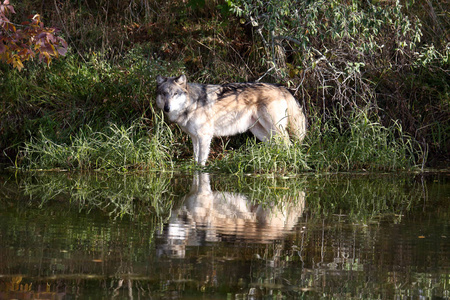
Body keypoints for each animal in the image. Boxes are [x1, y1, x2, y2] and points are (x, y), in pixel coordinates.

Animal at [155, 74, 306, 165]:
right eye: (164, 94)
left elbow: (201, 160)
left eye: (175, 94)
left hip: (275, 129)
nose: (167, 108)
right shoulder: (194, 137)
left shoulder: (205, 136)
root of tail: (281, 87)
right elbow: (195, 157)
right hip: (260, 132)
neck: (192, 103)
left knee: (288, 144)